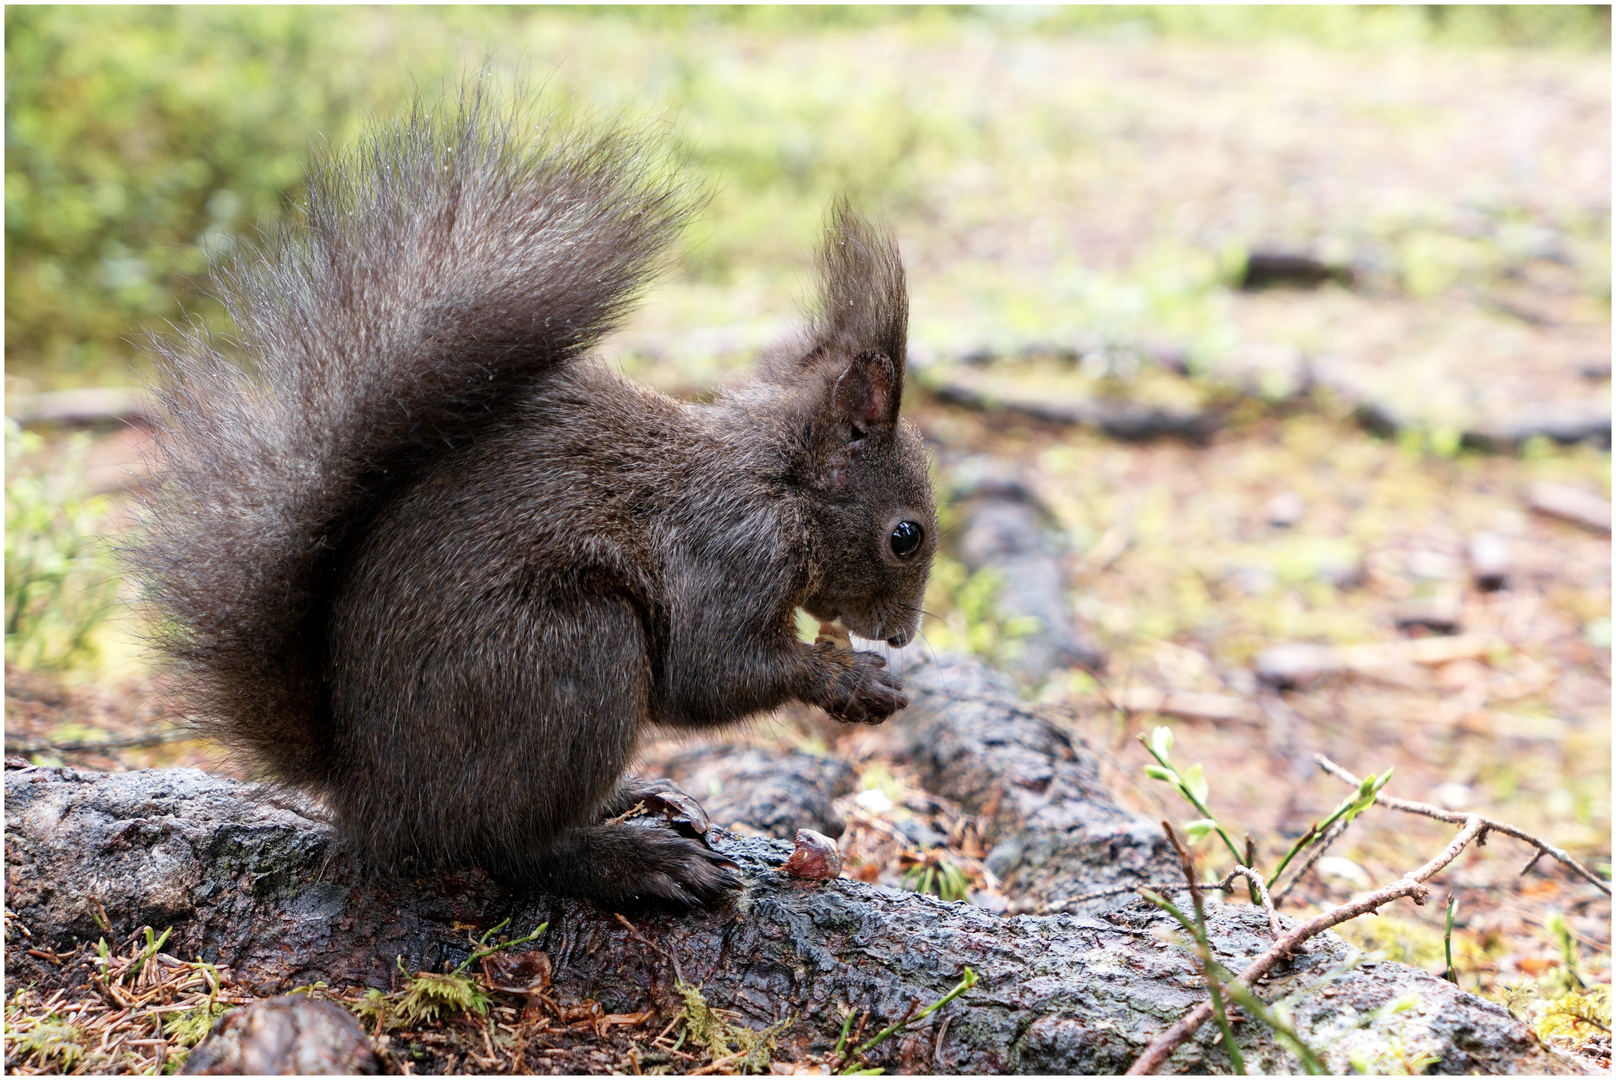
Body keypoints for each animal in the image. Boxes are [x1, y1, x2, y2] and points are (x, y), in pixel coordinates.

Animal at [129, 88, 937, 905]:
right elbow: (709, 671)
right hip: (574, 655)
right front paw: (849, 678)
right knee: (511, 847)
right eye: (906, 535)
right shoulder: (735, 547)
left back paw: (636, 797)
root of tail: (372, 796)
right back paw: (633, 858)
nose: (903, 636)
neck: (781, 480)